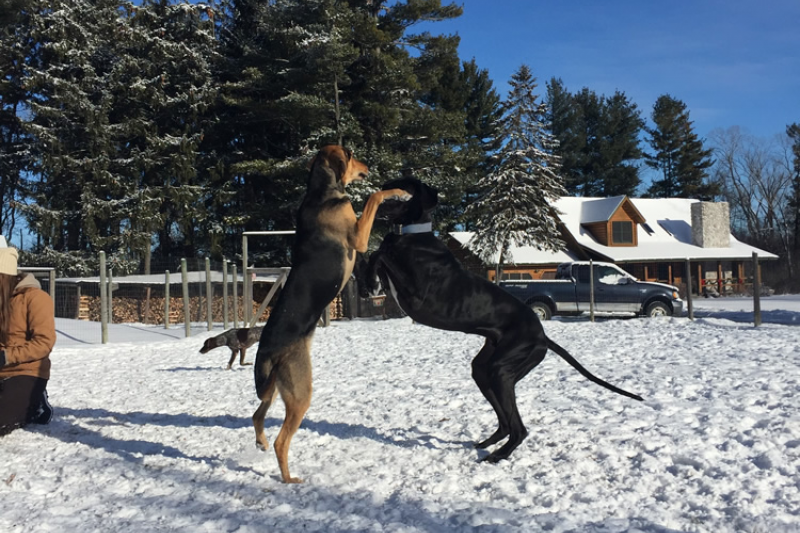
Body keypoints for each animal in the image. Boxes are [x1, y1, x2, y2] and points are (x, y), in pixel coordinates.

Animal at [253, 145, 410, 482]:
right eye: (352, 154)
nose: (367, 166)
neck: (320, 192)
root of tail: (267, 349)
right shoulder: (358, 238)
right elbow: (374, 196)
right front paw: (399, 192)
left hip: (275, 389)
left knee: (257, 415)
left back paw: (260, 443)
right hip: (300, 392)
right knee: (281, 440)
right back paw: (289, 477)